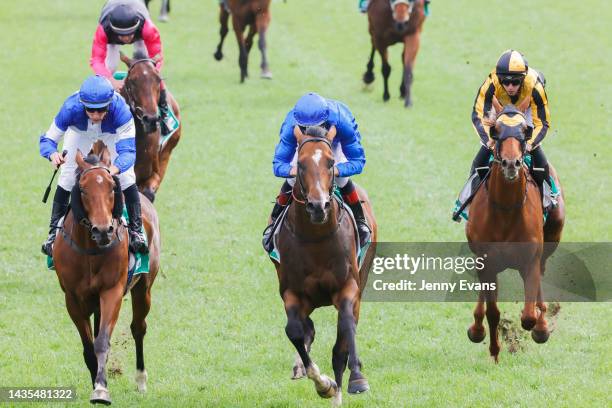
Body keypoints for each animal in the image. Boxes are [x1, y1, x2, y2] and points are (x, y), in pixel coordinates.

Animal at [53, 147, 161, 404]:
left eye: (112, 187)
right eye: (83, 189)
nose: (103, 230)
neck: (90, 250)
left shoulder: (111, 291)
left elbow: (101, 342)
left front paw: (101, 389)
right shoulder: (72, 298)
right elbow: (88, 347)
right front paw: (97, 382)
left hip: (144, 288)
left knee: (138, 328)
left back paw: (141, 380)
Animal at [274, 126, 378, 406]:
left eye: (331, 163)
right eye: (300, 164)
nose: (318, 206)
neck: (316, 239)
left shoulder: (348, 289)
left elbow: (344, 335)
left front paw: (350, 383)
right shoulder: (292, 293)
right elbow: (295, 331)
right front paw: (323, 384)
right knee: (306, 330)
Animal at [468, 107, 564, 362]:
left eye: (526, 131)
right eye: (495, 130)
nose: (511, 164)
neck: (506, 210)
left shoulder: (530, 260)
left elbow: (528, 316)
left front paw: (539, 327)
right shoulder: (487, 262)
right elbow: (493, 311)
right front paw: (494, 351)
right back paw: (476, 329)